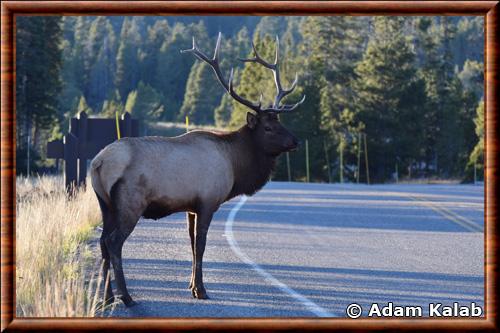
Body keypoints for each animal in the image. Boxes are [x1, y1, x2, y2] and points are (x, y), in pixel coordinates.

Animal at [90, 32, 304, 304]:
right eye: (268, 127)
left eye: (280, 122)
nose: (295, 141)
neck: (235, 165)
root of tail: (98, 162)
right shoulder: (208, 201)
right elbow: (200, 245)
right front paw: (201, 290)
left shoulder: (190, 207)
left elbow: (191, 244)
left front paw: (191, 286)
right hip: (130, 202)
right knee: (114, 242)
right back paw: (126, 297)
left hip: (104, 203)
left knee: (102, 241)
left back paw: (106, 297)